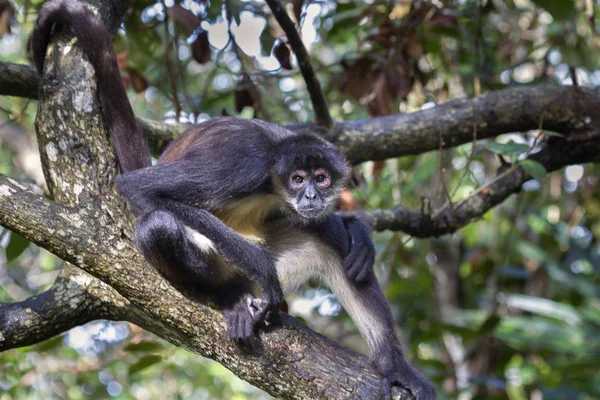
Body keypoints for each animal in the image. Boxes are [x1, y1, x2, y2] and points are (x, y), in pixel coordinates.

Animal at [31, 1, 436, 398]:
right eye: (298, 179)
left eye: (321, 179)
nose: (309, 194)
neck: (273, 168)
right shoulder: (244, 165)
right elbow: (138, 188)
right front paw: (261, 266)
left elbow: (331, 231)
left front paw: (359, 232)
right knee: (158, 225)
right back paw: (230, 294)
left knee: (331, 238)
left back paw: (393, 365)